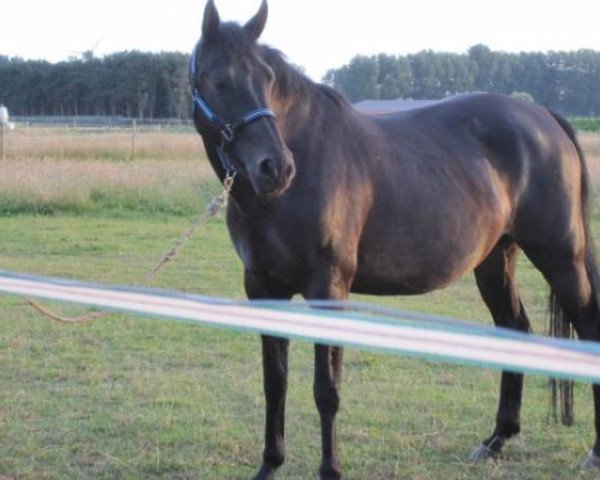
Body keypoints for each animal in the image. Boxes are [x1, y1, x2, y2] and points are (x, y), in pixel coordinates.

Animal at [190, 1, 600, 478]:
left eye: (268, 80)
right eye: (221, 81)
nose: (276, 168)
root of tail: (544, 118)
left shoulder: (329, 288)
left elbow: (326, 388)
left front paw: (331, 469)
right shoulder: (261, 287)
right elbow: (275, 382)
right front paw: (270, 465)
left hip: (560, 256)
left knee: (587, 328)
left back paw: (594, 450)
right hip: (496, 259)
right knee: (514, 327)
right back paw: (496, 440)